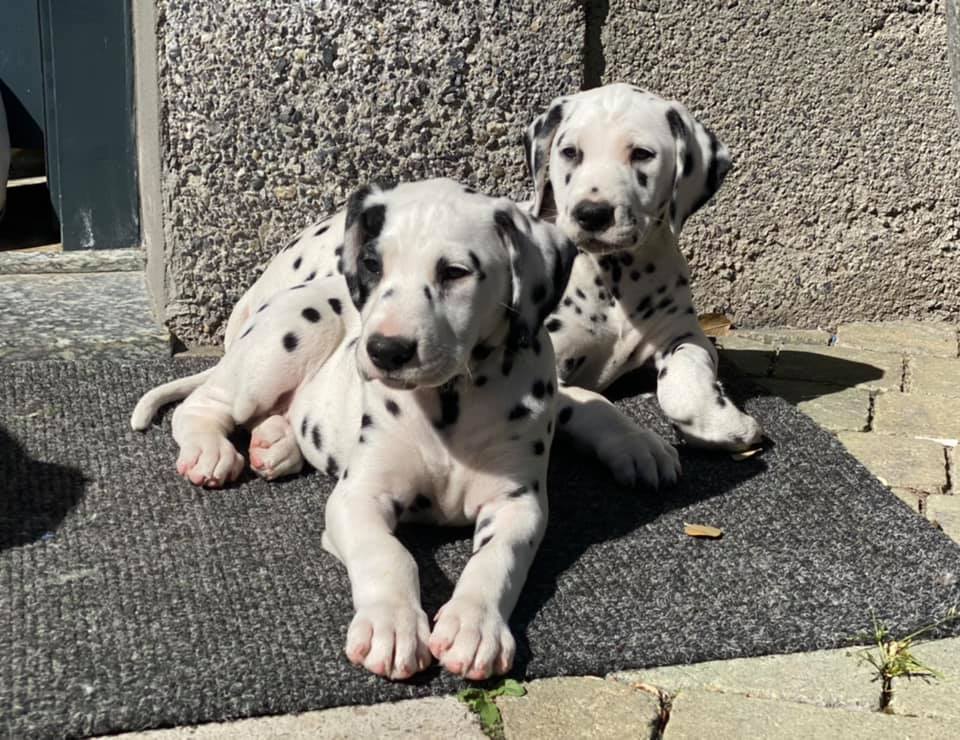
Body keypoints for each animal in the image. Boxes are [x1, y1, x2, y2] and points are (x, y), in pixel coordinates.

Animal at [131, 178, 680, 676]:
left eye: (456, 272)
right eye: (374, 266)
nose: (385, 350)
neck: (448, 403)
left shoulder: (517, 505)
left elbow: (496, 561)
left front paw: (473, 626)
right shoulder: (357, 499)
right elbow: (388, 555)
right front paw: (391, 625)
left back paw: (276, 442)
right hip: (290, 335)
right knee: (202, 404)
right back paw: (210, 450)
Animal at [520, 81, 760, 450]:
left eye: (642, 154)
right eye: (570, 152)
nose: (592, 213)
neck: (614, 277)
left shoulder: (685, 335)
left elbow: (685, 382)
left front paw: (723, 423)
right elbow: (588, 403)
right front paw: (634, 442)